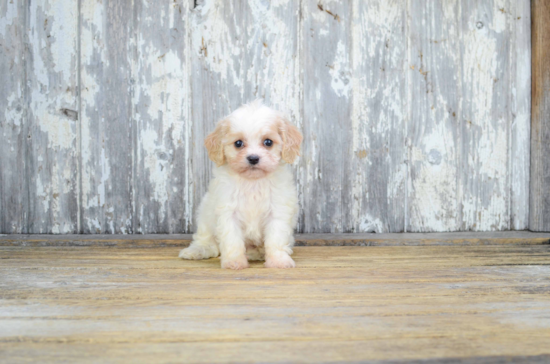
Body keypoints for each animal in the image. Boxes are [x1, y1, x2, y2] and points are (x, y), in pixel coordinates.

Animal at [179, 101, 304, 268]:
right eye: (238, 143)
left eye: (268, 142)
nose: (253, 158)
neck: (253, 182)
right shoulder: (228, 212)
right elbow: (232, 240)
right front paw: (234, 262)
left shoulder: (278, 211)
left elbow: (276, 239)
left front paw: (279, 261)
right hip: (205, 214)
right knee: (206, 240)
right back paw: (196, 250)